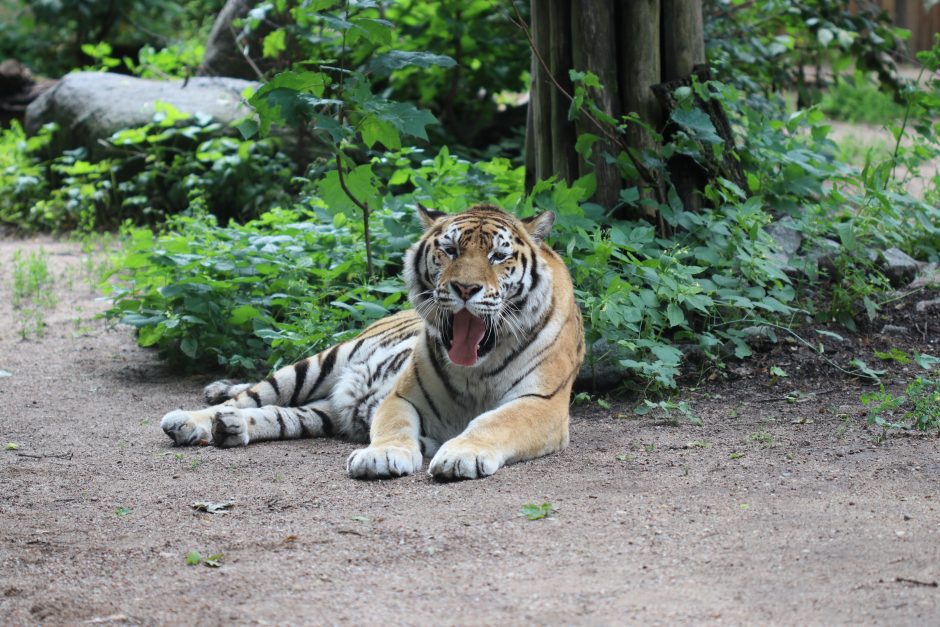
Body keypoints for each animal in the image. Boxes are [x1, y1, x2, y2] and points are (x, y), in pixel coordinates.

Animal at [162, 204, 588, 478]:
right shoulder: (403, 396)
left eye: (499, 256)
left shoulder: (541, 404)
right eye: (449, 250)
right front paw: (381, 457)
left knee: (279, 415)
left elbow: (493, 423)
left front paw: (460, 455)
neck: (475, 368)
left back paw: (229, 428)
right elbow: (394, 426)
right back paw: (190, 419)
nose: (465, 288)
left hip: (322, 412)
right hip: (321, 363)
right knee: (251, 396)